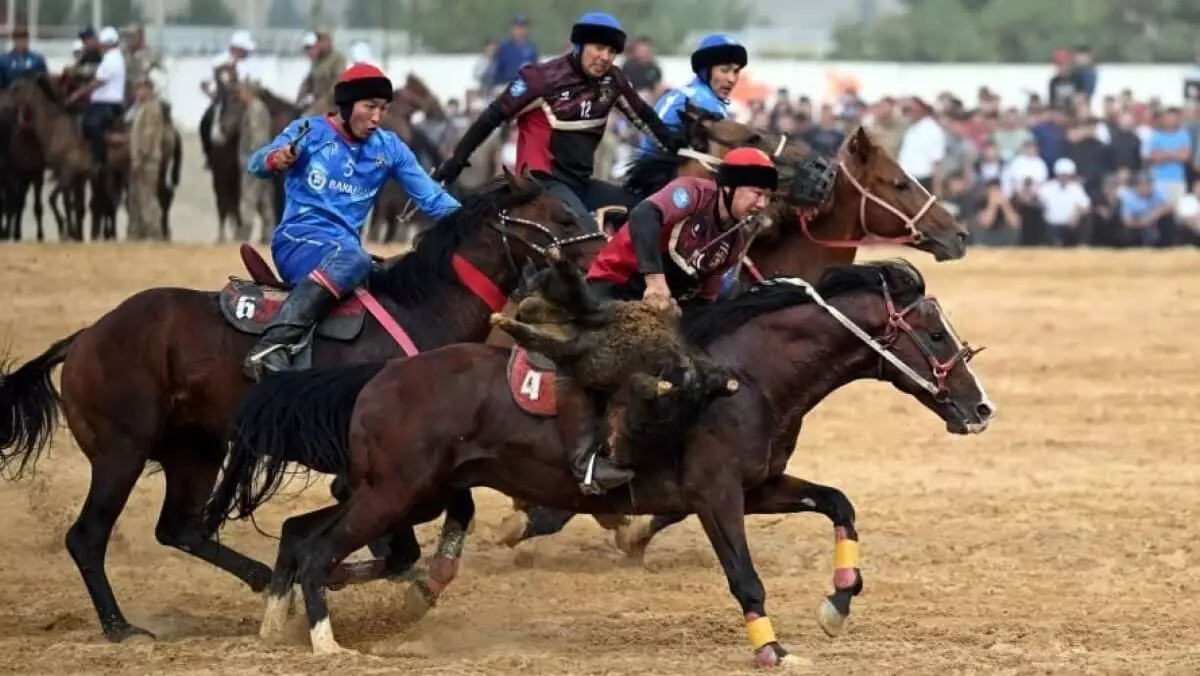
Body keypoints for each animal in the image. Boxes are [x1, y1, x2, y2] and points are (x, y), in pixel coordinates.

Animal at [0, 170, 604, 643]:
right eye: (563, 217)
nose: (603, 270)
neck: (420, 310)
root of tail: (84, 338)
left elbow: (439, 526)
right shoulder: (373, 471)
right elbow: (399, 546)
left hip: (194, 448)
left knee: (181, 529)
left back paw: (260, 581)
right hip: (121, 452)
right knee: (88, 537)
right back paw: (121, 627)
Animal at [204, 259, 993, 662]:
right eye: (932, 332)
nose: (979, 406)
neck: (744, 377)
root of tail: (378, 376)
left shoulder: (762, 485)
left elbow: (838, 503)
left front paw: (837, 604)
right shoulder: (716, 496)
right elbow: (745, 577)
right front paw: (772, 647)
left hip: (406, 491)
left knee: (299, 534)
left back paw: (277, 624)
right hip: (393, 492)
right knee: (318, 550)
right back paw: (326, 644)